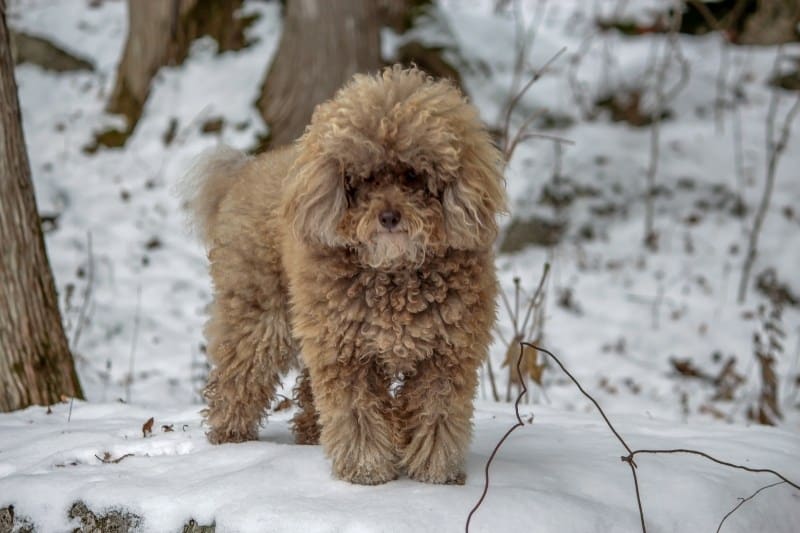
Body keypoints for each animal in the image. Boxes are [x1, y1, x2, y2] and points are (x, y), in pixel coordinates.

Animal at [183, 64, 506, 484]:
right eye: (364, 178)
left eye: (412, 176)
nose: (389, 217)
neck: (395, 274)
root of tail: (248, 169)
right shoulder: (348, 355)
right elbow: (357, 414)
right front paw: (366, 469)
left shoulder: (445, 356)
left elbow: (437, 414)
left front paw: (435, 472)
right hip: (260, 314)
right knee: (239, 375)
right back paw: (229, 437)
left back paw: (309, 433)